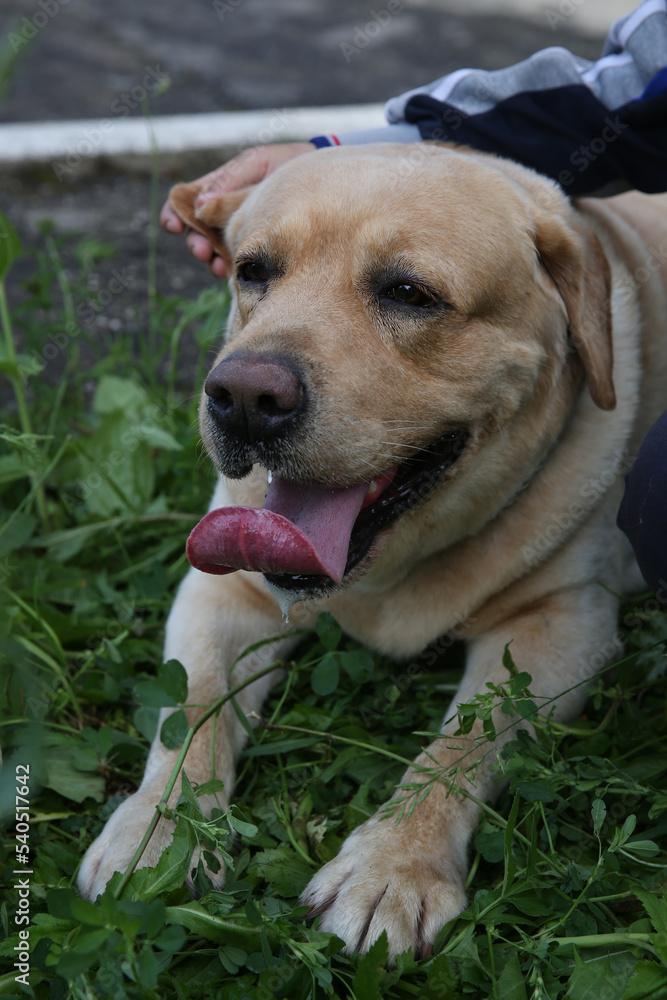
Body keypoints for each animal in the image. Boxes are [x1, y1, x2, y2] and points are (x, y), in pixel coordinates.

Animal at [79, 143, 667, 960]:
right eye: (253, 270)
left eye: (409, 293)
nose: (243, 397)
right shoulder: (226, 591)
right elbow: (192, 709)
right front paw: (160, 830)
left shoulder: (562, 622)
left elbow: (463, 742)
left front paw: (395, 867)